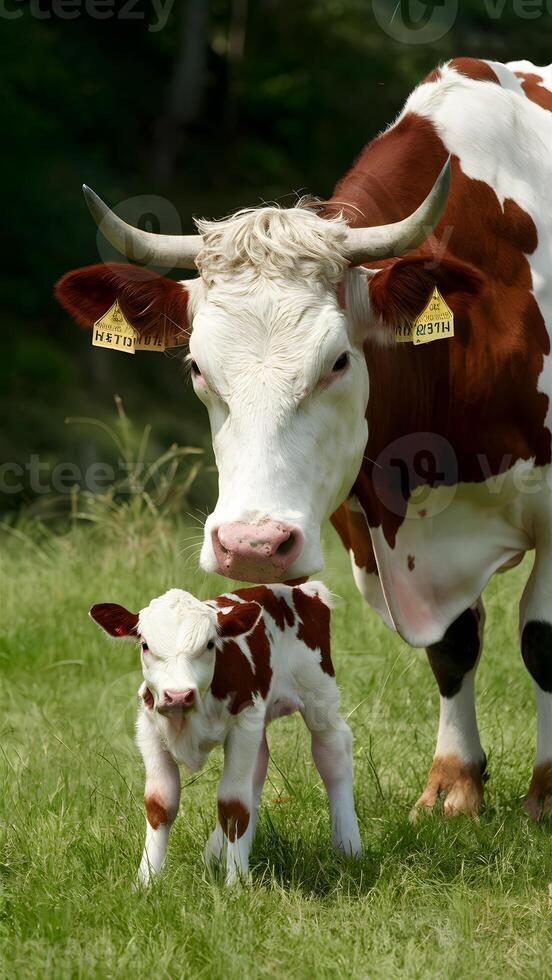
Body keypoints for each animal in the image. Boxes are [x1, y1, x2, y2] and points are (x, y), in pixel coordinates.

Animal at [57, 59, 552, 820]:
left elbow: (543, 640)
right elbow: (454, 643)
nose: (252, 545)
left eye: (340, 360)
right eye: (195, 365)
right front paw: (453, 783)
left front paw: (548, 793)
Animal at [88, 580, 360, 888]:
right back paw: (215, 854)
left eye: (209, 644)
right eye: (145, 645)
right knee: (255, 773)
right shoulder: (149, 728)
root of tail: (302, 589)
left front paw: (237, 882)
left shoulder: (244, 723)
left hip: (318, 695)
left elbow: (233, 806)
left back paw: (348, 844)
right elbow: (160, 804)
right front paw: (146, 881)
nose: (178, 695)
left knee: (333, 751)